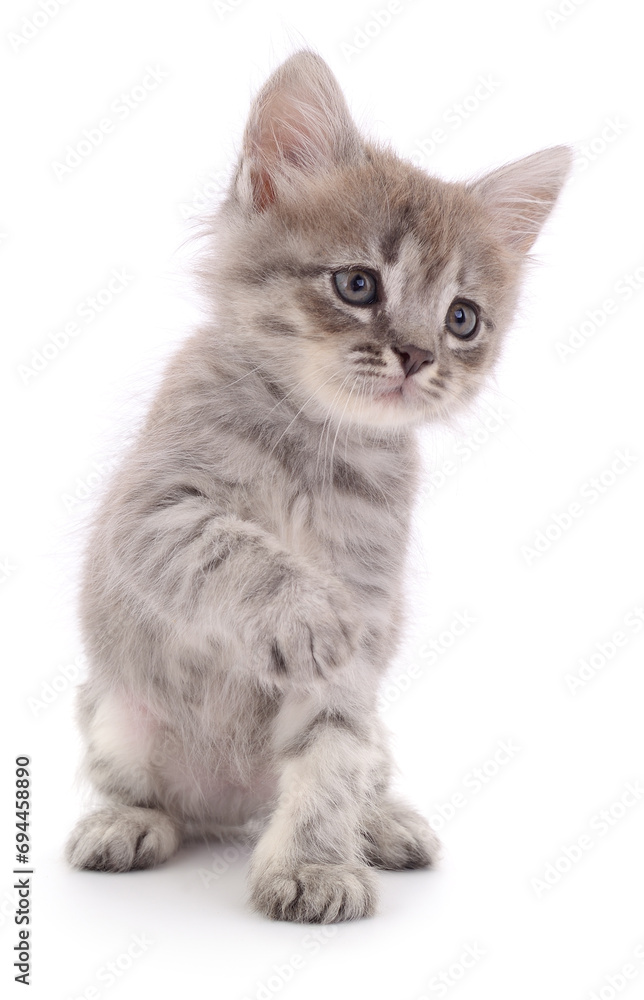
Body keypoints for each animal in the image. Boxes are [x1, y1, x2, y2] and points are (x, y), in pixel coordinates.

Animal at [64, 47, 568, 920]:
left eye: (462, 319)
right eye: (359, 285)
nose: (416, 356)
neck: (315, 444)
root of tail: (231, 797)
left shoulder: (364, 621)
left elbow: (330, 759)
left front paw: (314, 866)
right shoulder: (151, 512)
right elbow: (233, 546)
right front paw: (300, 613)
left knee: (361, 774)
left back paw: (383, 825)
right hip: (111, 715)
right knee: (149, 795)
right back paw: (128, 823)